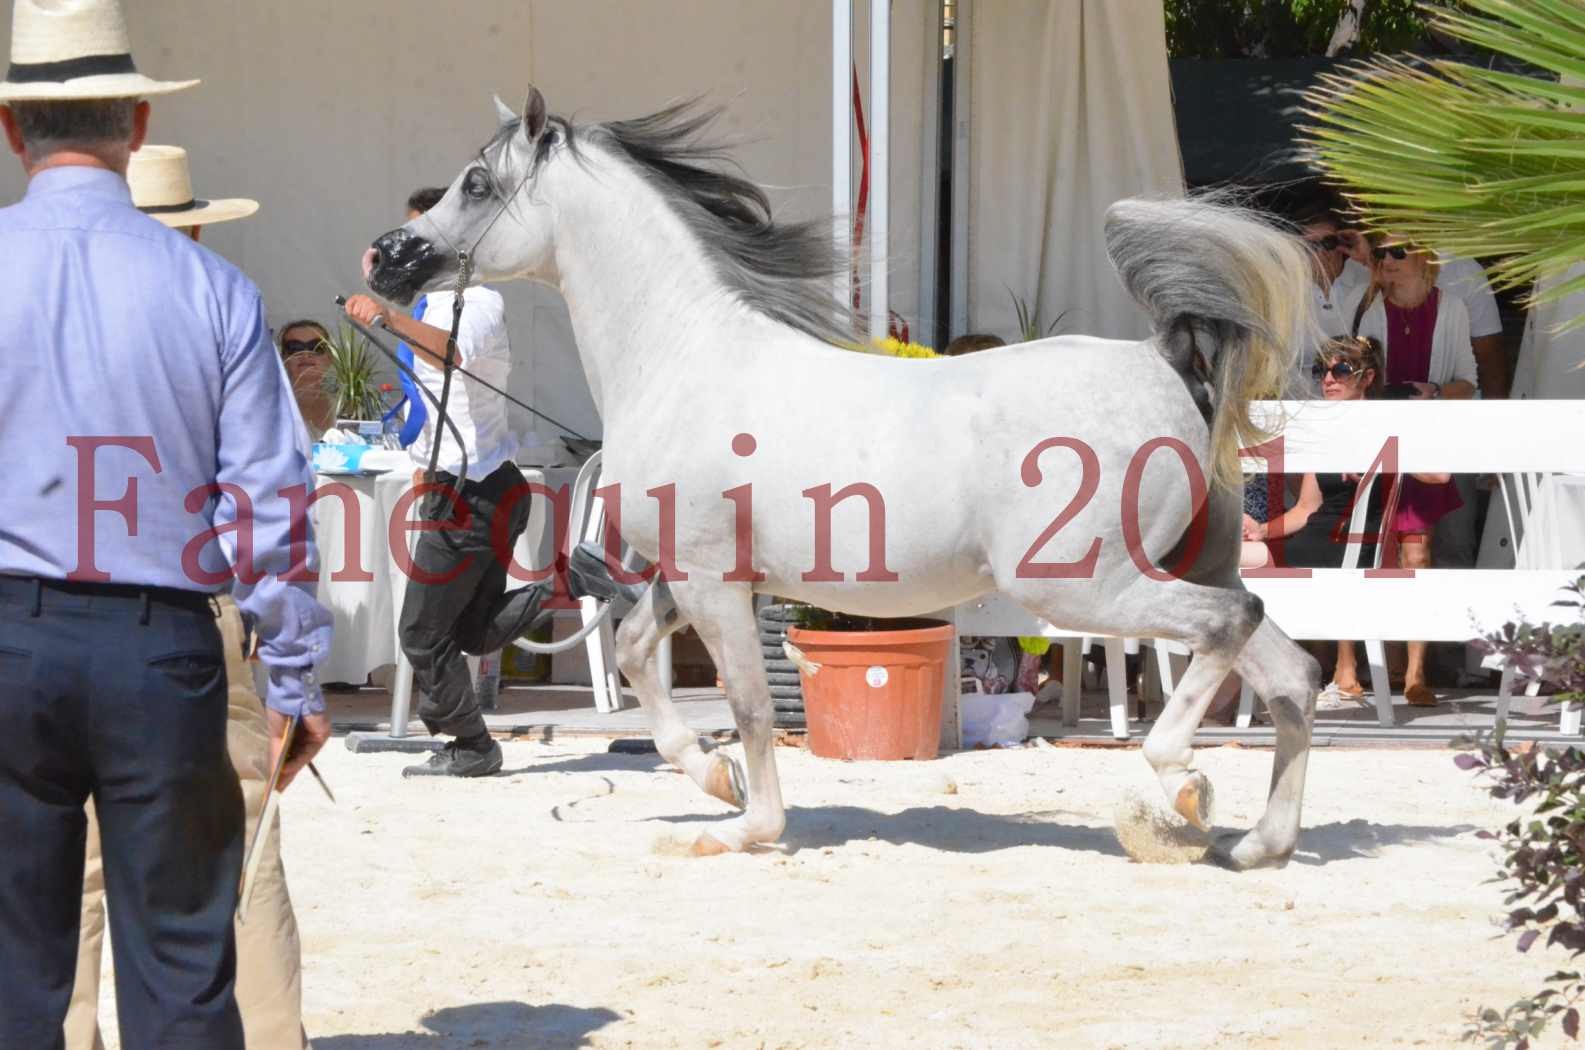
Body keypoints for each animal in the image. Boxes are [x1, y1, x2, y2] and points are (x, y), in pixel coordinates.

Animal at [364, 88, 1318, 869]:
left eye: (476, 184)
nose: (386, 259)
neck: (681, 357)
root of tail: (1166, 360)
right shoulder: (695, 575)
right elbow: (637, 654)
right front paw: (711, 779)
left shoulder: (711, 581)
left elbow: (750, 704)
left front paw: (744, 827)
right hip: (1173, 570)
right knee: (1287, 670)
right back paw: (1254, 844)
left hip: (1081, 585)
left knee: (1228, 628)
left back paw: (1181, 784)